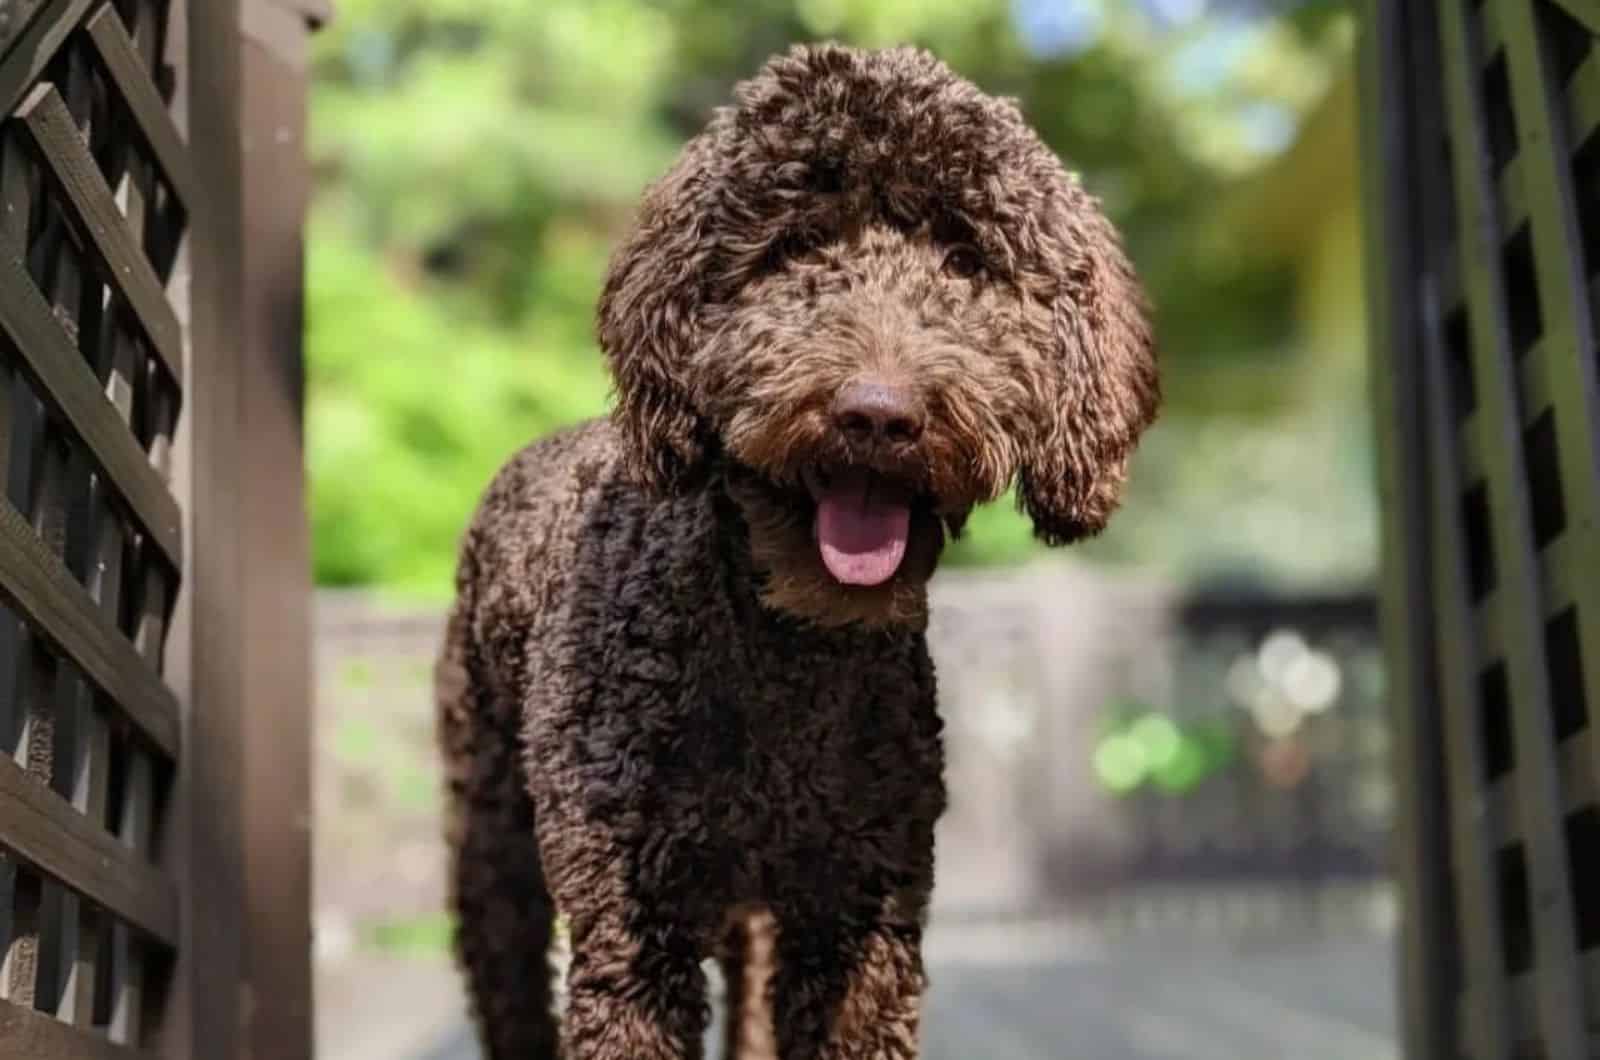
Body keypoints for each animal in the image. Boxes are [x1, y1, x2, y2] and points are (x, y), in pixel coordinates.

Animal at [438, 41, 1164, 1060]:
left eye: (965, 259)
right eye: (794, 250)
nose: (878, 415)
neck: (782, 654)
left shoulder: (861, 908)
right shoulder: (631, 923)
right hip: (493, 847)